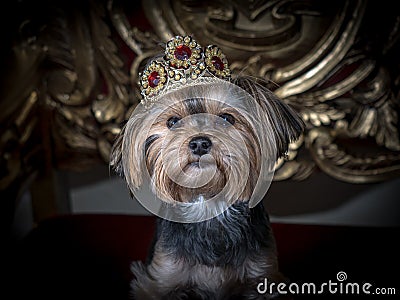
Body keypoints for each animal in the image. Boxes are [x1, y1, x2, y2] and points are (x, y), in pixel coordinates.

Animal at [109, 36, 304, 298]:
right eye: (173, 122)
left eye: (227, 118)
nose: (200, 143)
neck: (208, 203)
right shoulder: (162, 278)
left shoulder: (263, 275)